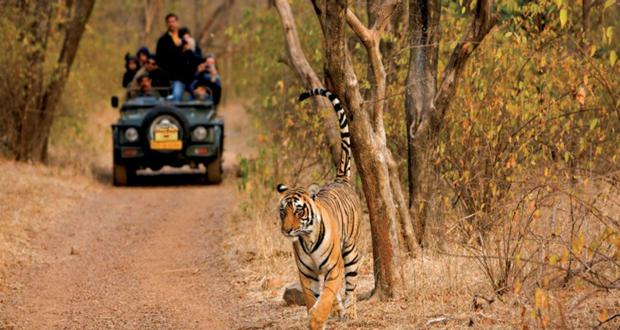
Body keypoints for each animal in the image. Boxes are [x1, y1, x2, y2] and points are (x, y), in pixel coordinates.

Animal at [278, 88, 360, 330]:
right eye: (282, 212)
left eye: (298, 211)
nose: (287, 230)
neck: (307, 239)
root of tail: (340, 179)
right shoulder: (306, 274)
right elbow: (312, 298)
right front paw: (314, 314)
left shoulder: (334, 268)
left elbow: (325, 297)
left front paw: (317, 319)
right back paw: (339, 310)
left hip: (350, 251)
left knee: (351, 285)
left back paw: (350, 312)